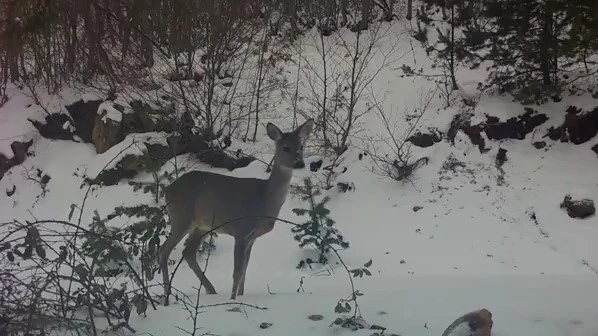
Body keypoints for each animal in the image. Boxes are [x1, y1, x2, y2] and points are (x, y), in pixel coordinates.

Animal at [157, 118, 316, 304]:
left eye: (301, 146)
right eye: (285, 147)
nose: (299, 163)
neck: (264, 199)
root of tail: (167, 189)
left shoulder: (252, 237)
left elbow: (245, 271)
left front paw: (241, 296)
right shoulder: (241, 230)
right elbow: (237, 272)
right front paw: (233, 299)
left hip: (203, 225)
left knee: (188, 251)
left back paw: (211, 290)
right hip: (181, 216)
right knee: (164, 250)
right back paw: (167, 295)